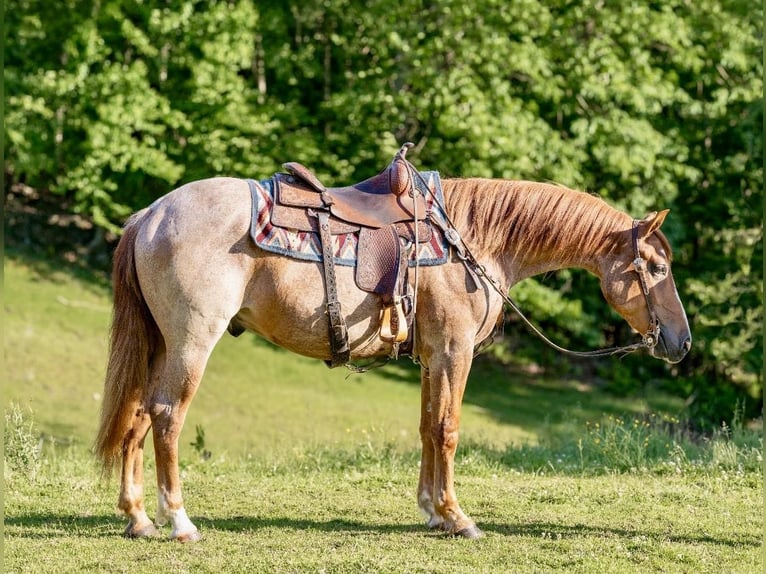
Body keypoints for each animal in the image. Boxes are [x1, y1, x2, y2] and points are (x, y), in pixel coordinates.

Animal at [95, 170, 691, 542]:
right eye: (657, 268)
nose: (681, 342)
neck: (473, 240)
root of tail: (152, 213)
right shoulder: (453, 351)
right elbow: (448, 429)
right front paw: (457, 516)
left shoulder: (431, 356)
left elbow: (428, 427)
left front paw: (431, 511)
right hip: (193, 340)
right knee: (168, 415)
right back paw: (179, 521)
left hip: (162, 344)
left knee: (140, 413)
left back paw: (138, 518)